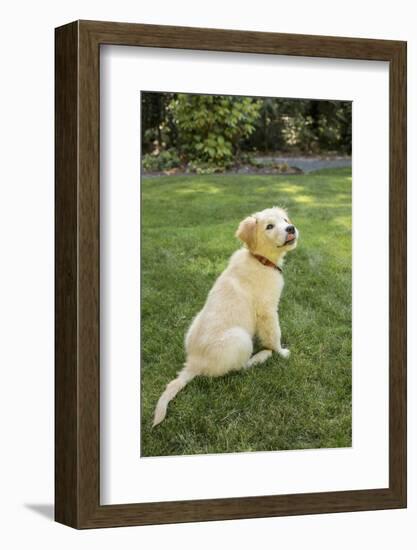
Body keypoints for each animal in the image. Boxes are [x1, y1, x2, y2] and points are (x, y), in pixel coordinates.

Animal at [154, 207, 300, 426]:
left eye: (285, 220)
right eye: (269, 226)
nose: (291, 229)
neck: (260, 259)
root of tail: (194, 362)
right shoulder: (268, 310)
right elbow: (275, 335)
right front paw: (281, 352)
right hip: (240, 339)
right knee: (239, 368)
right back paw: (261, 356)